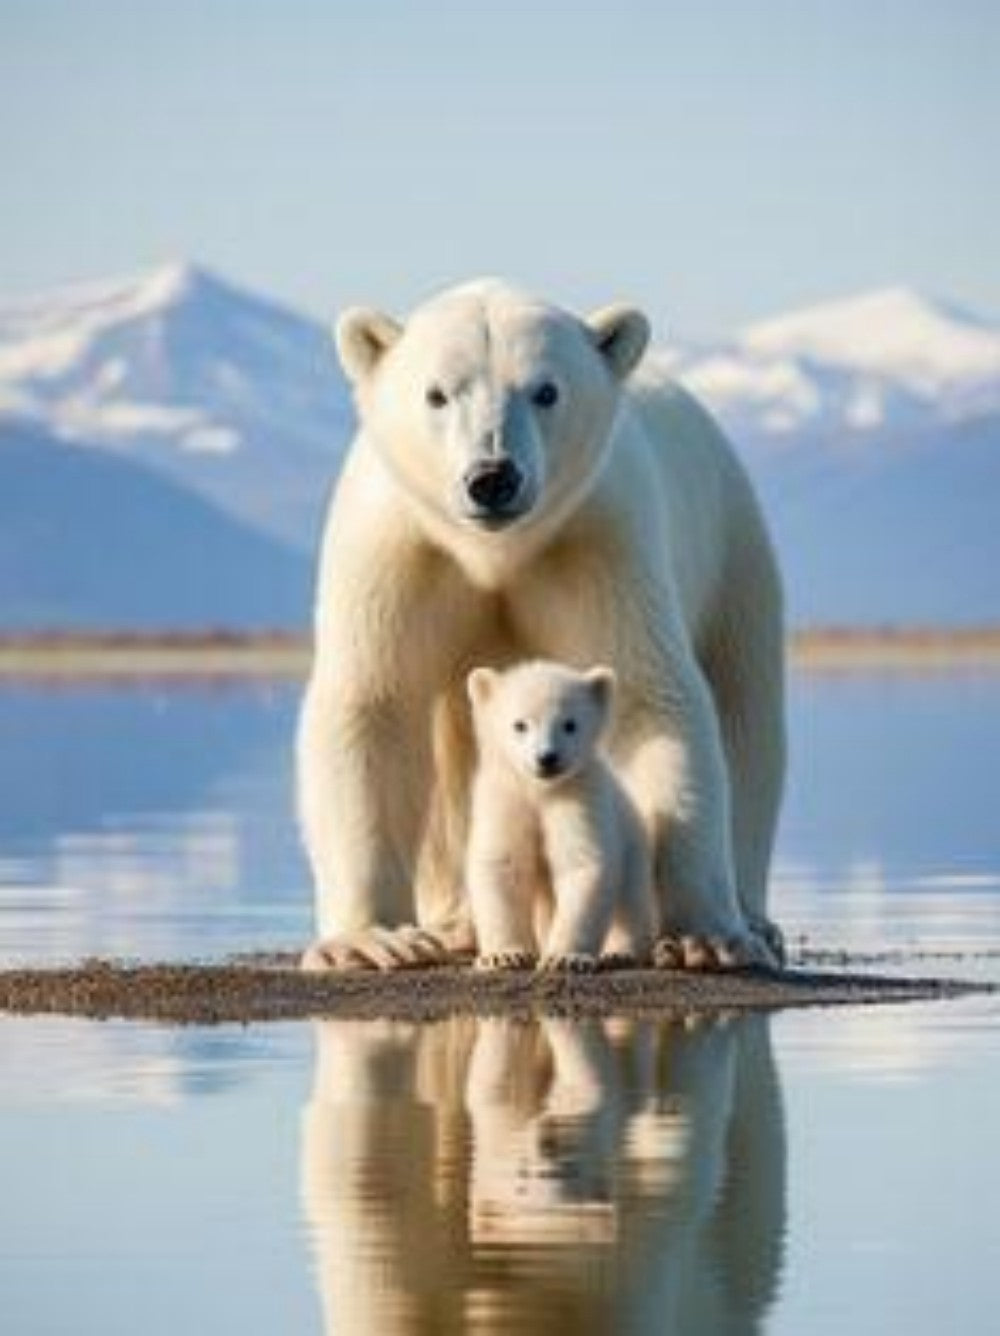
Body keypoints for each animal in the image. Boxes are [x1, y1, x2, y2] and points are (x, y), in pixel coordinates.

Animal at [465, 660, 655, 971]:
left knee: (630, 900)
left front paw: (565, 958)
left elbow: (583, 864)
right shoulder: (506, 799)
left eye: (570, 724)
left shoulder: (579, 796)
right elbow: (503, 864)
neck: (541, 791)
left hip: (633, 845)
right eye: (520, 724)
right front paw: (504, 955)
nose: (547, 758)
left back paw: (620, 952)